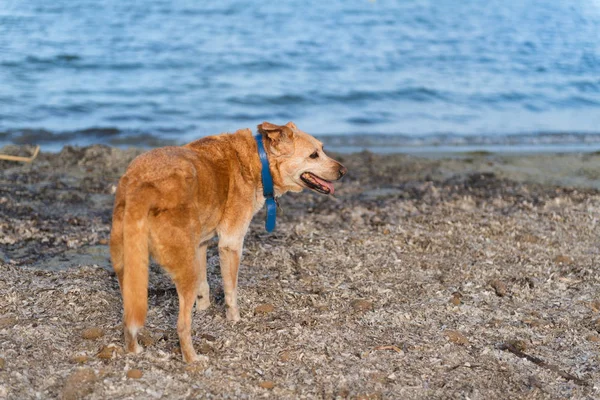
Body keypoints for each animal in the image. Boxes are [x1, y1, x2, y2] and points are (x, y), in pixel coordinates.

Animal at [109, 122, 346, 362]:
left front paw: (204, 309)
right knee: (182, 325)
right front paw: (234, 319)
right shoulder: (231, 244)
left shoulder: (200, 245)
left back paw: (134, 349)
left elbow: (204, 285)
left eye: (322, 149)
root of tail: (143, 186)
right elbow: (231, 291)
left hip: (130, 270)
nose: (343, 171)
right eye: (314, 155)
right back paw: (192, 359)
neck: (258, 159)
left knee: (129, 318)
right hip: (183, 270)